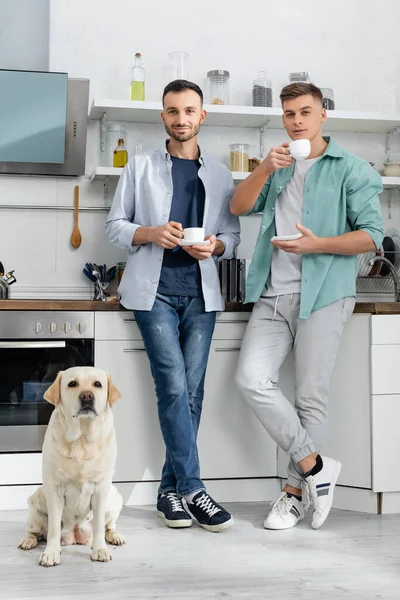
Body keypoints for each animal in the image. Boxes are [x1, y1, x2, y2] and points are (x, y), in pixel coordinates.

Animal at [18, 366, 125, 568]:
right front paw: (51, 553)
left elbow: (99, 526)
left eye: (97, 384)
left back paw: (115, 536)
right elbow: (53, 529)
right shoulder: (54, 488)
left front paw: (100, 550)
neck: (82, 439)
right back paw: (28, 541)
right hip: (36, 499)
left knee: (109, 526)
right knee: (34, 530)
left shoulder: (101, 489)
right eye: (72, 384)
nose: (87, 396)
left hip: (115, 496)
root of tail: (75, 535)